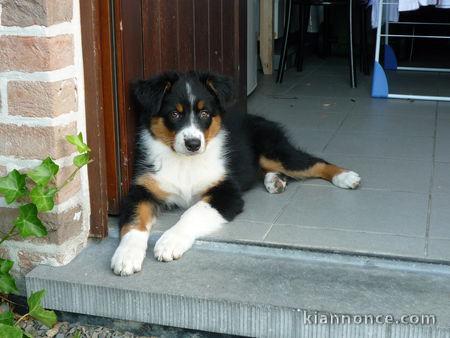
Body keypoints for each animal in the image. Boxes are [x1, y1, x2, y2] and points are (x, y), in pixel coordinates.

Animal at [110, 70, 360, 274]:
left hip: (274, 152)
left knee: (314, 162)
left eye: (204, 114)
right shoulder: (141, 190)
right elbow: (133, 222)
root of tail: (259, 117)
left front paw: (169, 241)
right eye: (174, 114)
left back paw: (346, 176)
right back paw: (275, 181)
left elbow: (192, 213)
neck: (185, 162)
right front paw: (126, 256)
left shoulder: (227, 192)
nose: (193, 144)